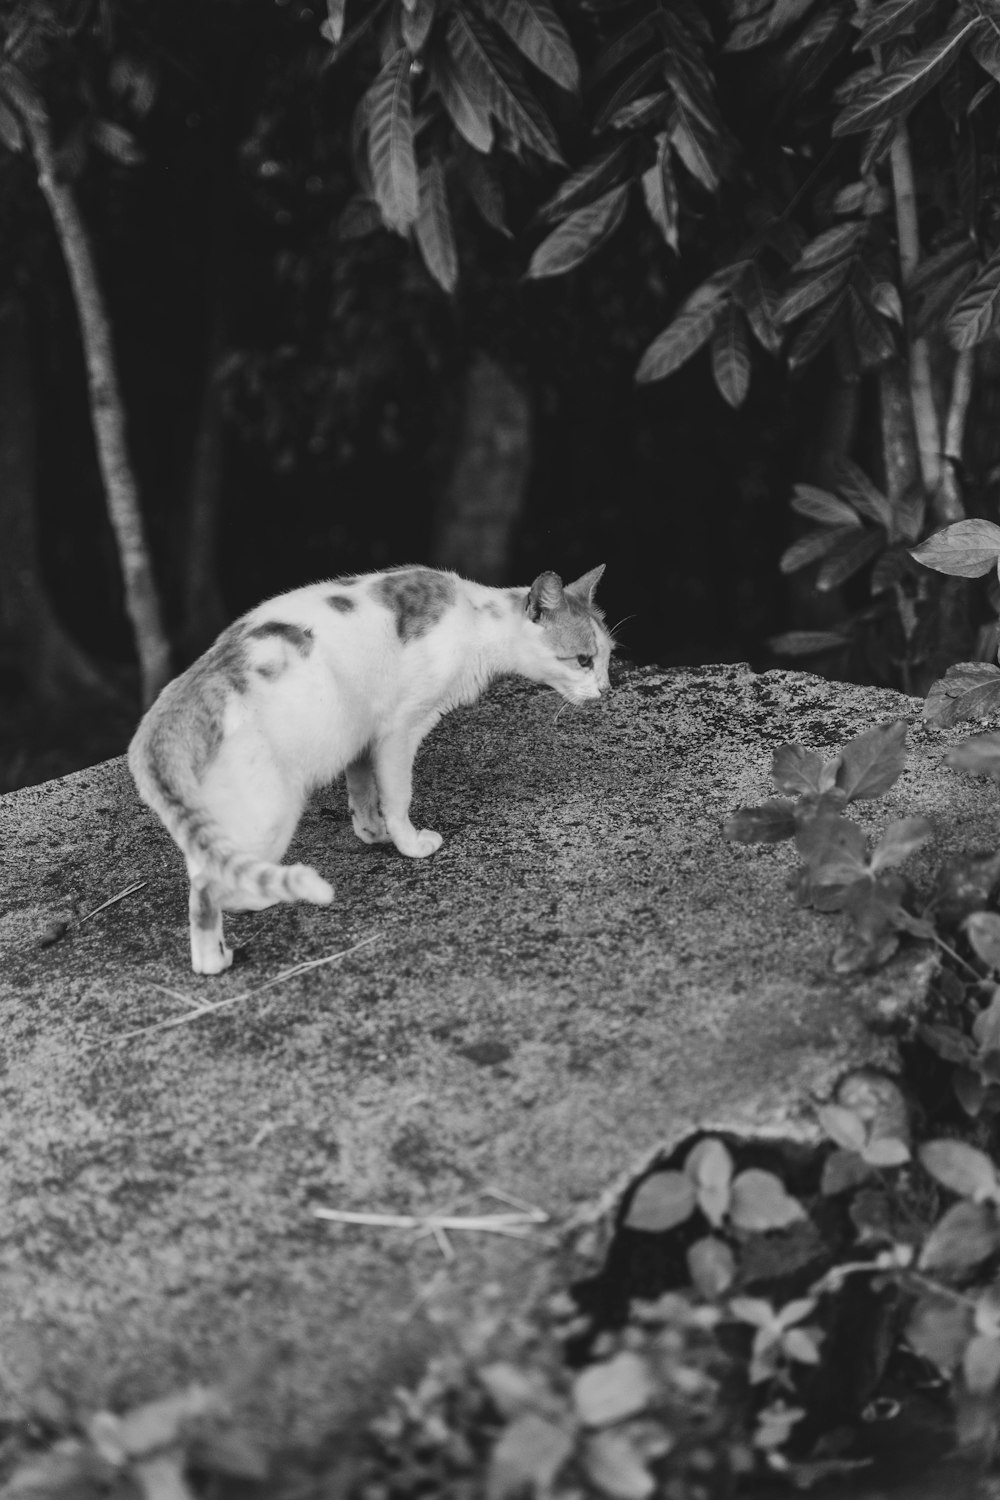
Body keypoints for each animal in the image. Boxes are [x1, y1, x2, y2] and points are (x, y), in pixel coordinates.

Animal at [125, 564, 611, 972]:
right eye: (583, 660)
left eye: (608, 657)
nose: (607, 690)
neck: (476, 619)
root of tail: (171, 708)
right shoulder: (400, 730)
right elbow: (397, 796)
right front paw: (409, 843)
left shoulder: (362, 738)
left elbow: (363, 795)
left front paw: (373, 833)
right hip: (271, 813)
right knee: (209, 889)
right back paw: (222, 950)